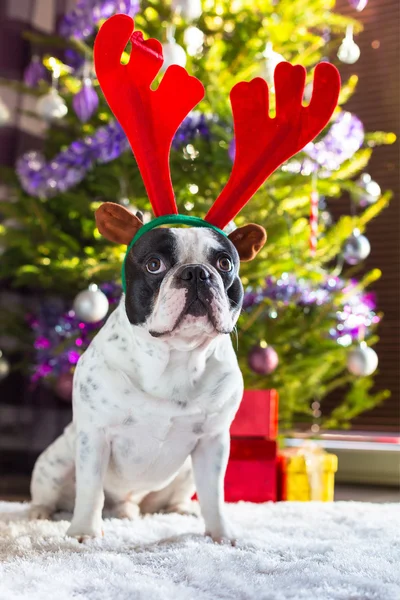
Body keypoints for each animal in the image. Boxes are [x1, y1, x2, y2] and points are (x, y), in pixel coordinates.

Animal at [28, 211, 266, 544]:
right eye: (154, 264)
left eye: (224, 264)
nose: (196, 273)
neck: (175, 356)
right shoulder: (94, 437)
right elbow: (90, 490)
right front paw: (84, 533)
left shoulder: (213, 442)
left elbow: (214, 495)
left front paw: (221, 534)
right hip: (56, 461)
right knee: (51, 494)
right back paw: (40, 513)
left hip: (185, 471)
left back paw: (178, 511)